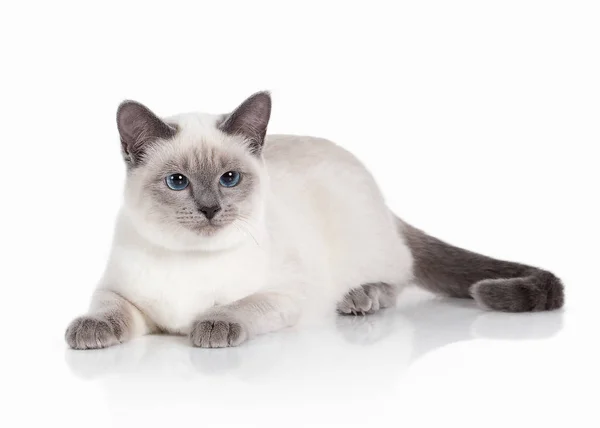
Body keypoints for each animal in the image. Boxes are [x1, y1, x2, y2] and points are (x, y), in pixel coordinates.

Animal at [64, 92, 564, 350]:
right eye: (177, 182)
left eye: (229, 178)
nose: (209, 209)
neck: (190, 259)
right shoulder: (119, 292)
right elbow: (107, 310)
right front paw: (87, 331)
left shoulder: (283, 295)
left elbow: (236, 308)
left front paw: (209, 327)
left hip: (367, 244)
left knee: (397, 276)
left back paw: (363, 297)